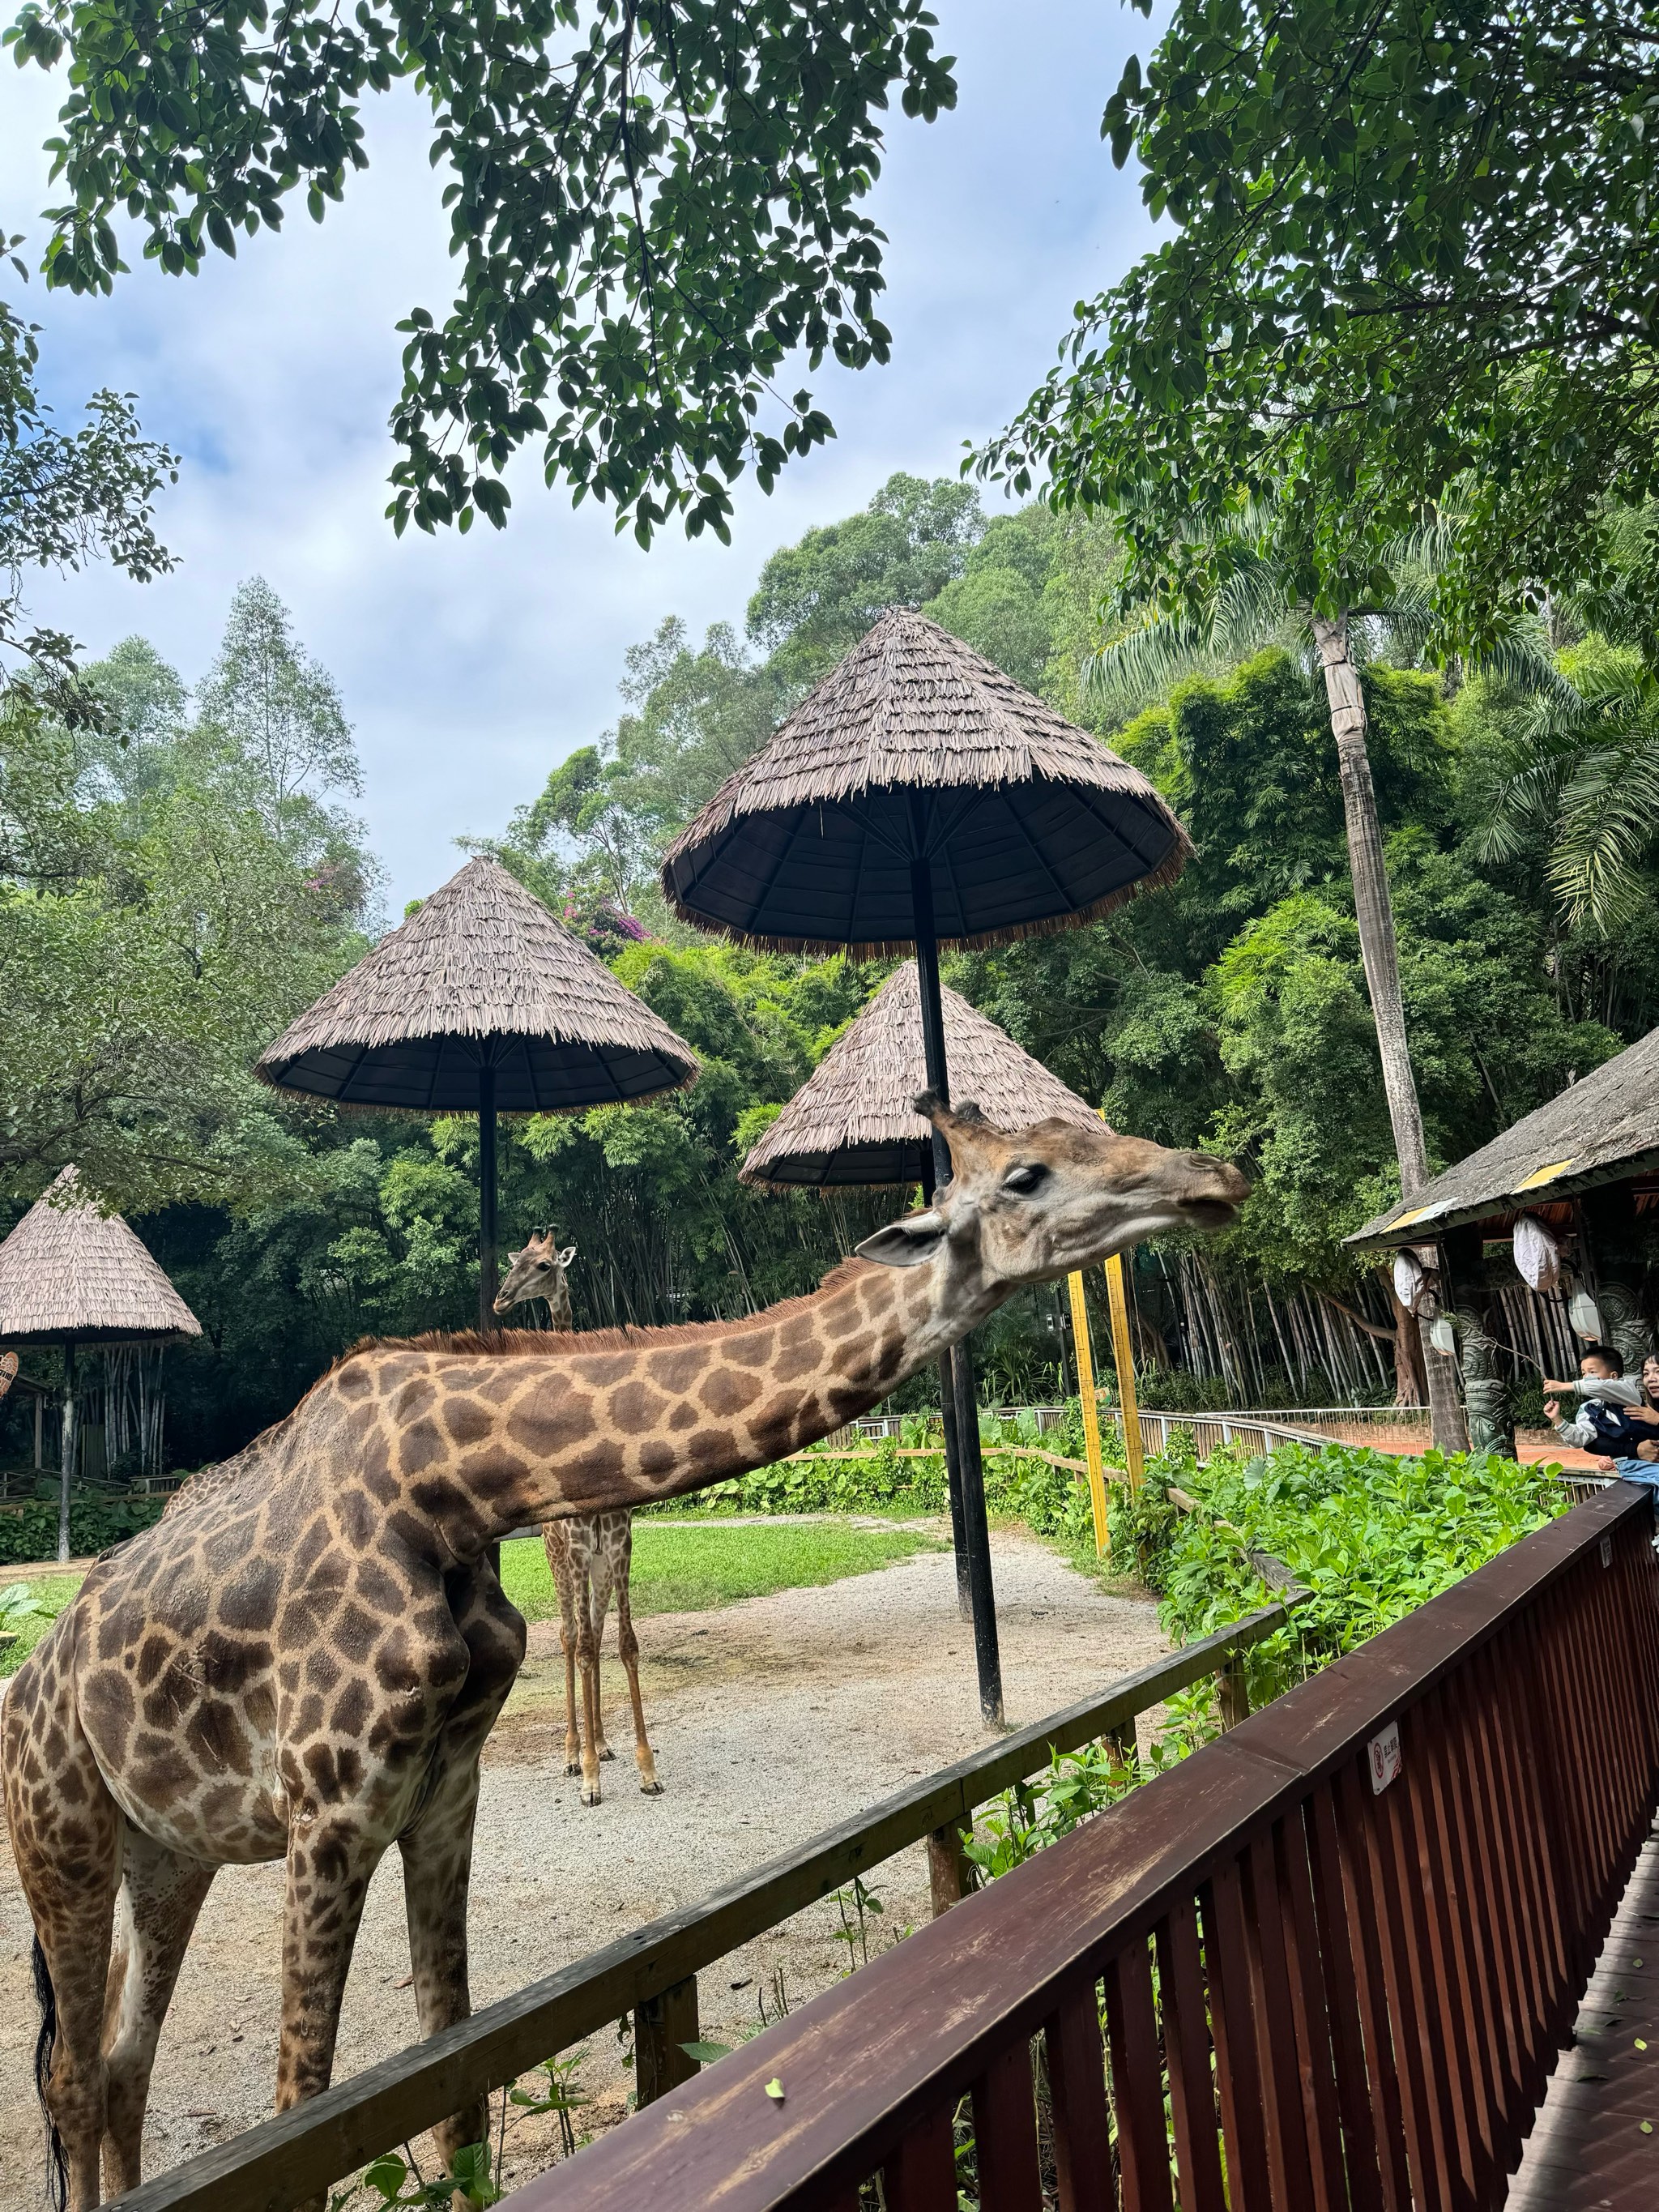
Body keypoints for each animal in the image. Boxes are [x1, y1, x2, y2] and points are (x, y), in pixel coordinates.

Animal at [486, 1238, 663, 1804]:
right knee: (570, 1638)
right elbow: (581, 1646)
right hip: (561, 1563)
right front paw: (588, 1778)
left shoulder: (620, 1549)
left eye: (543, 1265)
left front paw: (646, 1769)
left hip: (596, 1571)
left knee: (594, 1635)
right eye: (514, 1260)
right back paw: (572, 1753)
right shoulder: (583, 1551)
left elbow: (625, 1643)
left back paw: (601, 1744)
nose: (500, 1300)